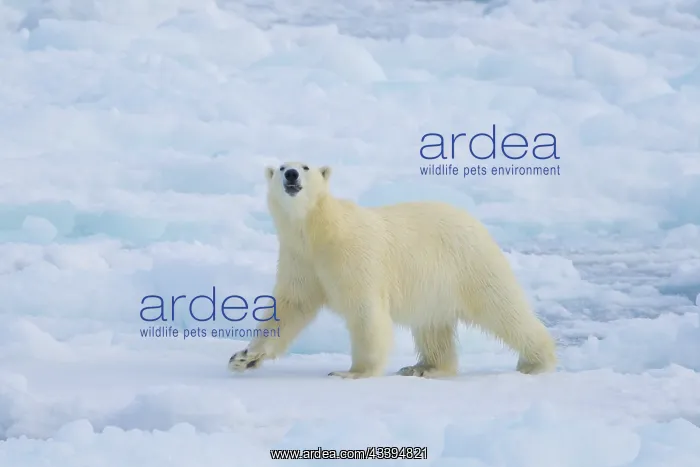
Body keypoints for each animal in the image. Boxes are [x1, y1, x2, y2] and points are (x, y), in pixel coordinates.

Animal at [228, 161, 558, 379]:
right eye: (282, 166)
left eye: (305, 166)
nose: (292, 174)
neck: (319, 231)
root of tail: (476, 223)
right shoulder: (300, 258)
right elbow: (291, 306)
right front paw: (244, 357)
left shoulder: (353, 255)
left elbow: (365, 311)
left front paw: (354, 372)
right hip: (435, 285)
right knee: (431, 325)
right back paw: (425, 367)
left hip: (469, 265)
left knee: (502, 309)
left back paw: (536, 362)